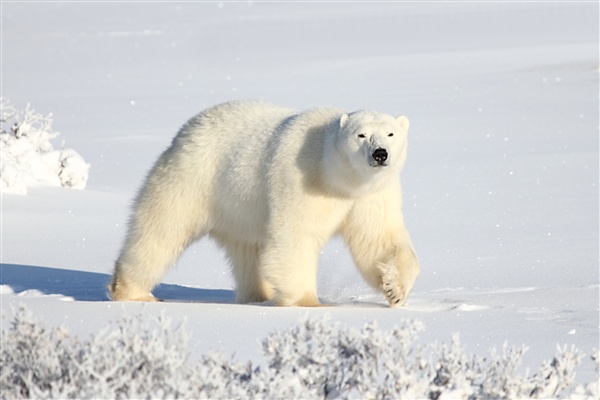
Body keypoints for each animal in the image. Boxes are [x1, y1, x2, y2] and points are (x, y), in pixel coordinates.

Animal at [109, 100, 418, 306]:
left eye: (391, 134)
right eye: (361, 134)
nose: (380, 154)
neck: (337, 177)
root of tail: (188, 127)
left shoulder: (373, 194)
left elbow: (378, 240)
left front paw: (395, 288)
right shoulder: (300, 180)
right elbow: (295, 237)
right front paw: (308, 302)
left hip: (239, 210)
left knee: (247, 252)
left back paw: (259, 296)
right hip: (195, 177)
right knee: (162, 228)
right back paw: (133, 291)